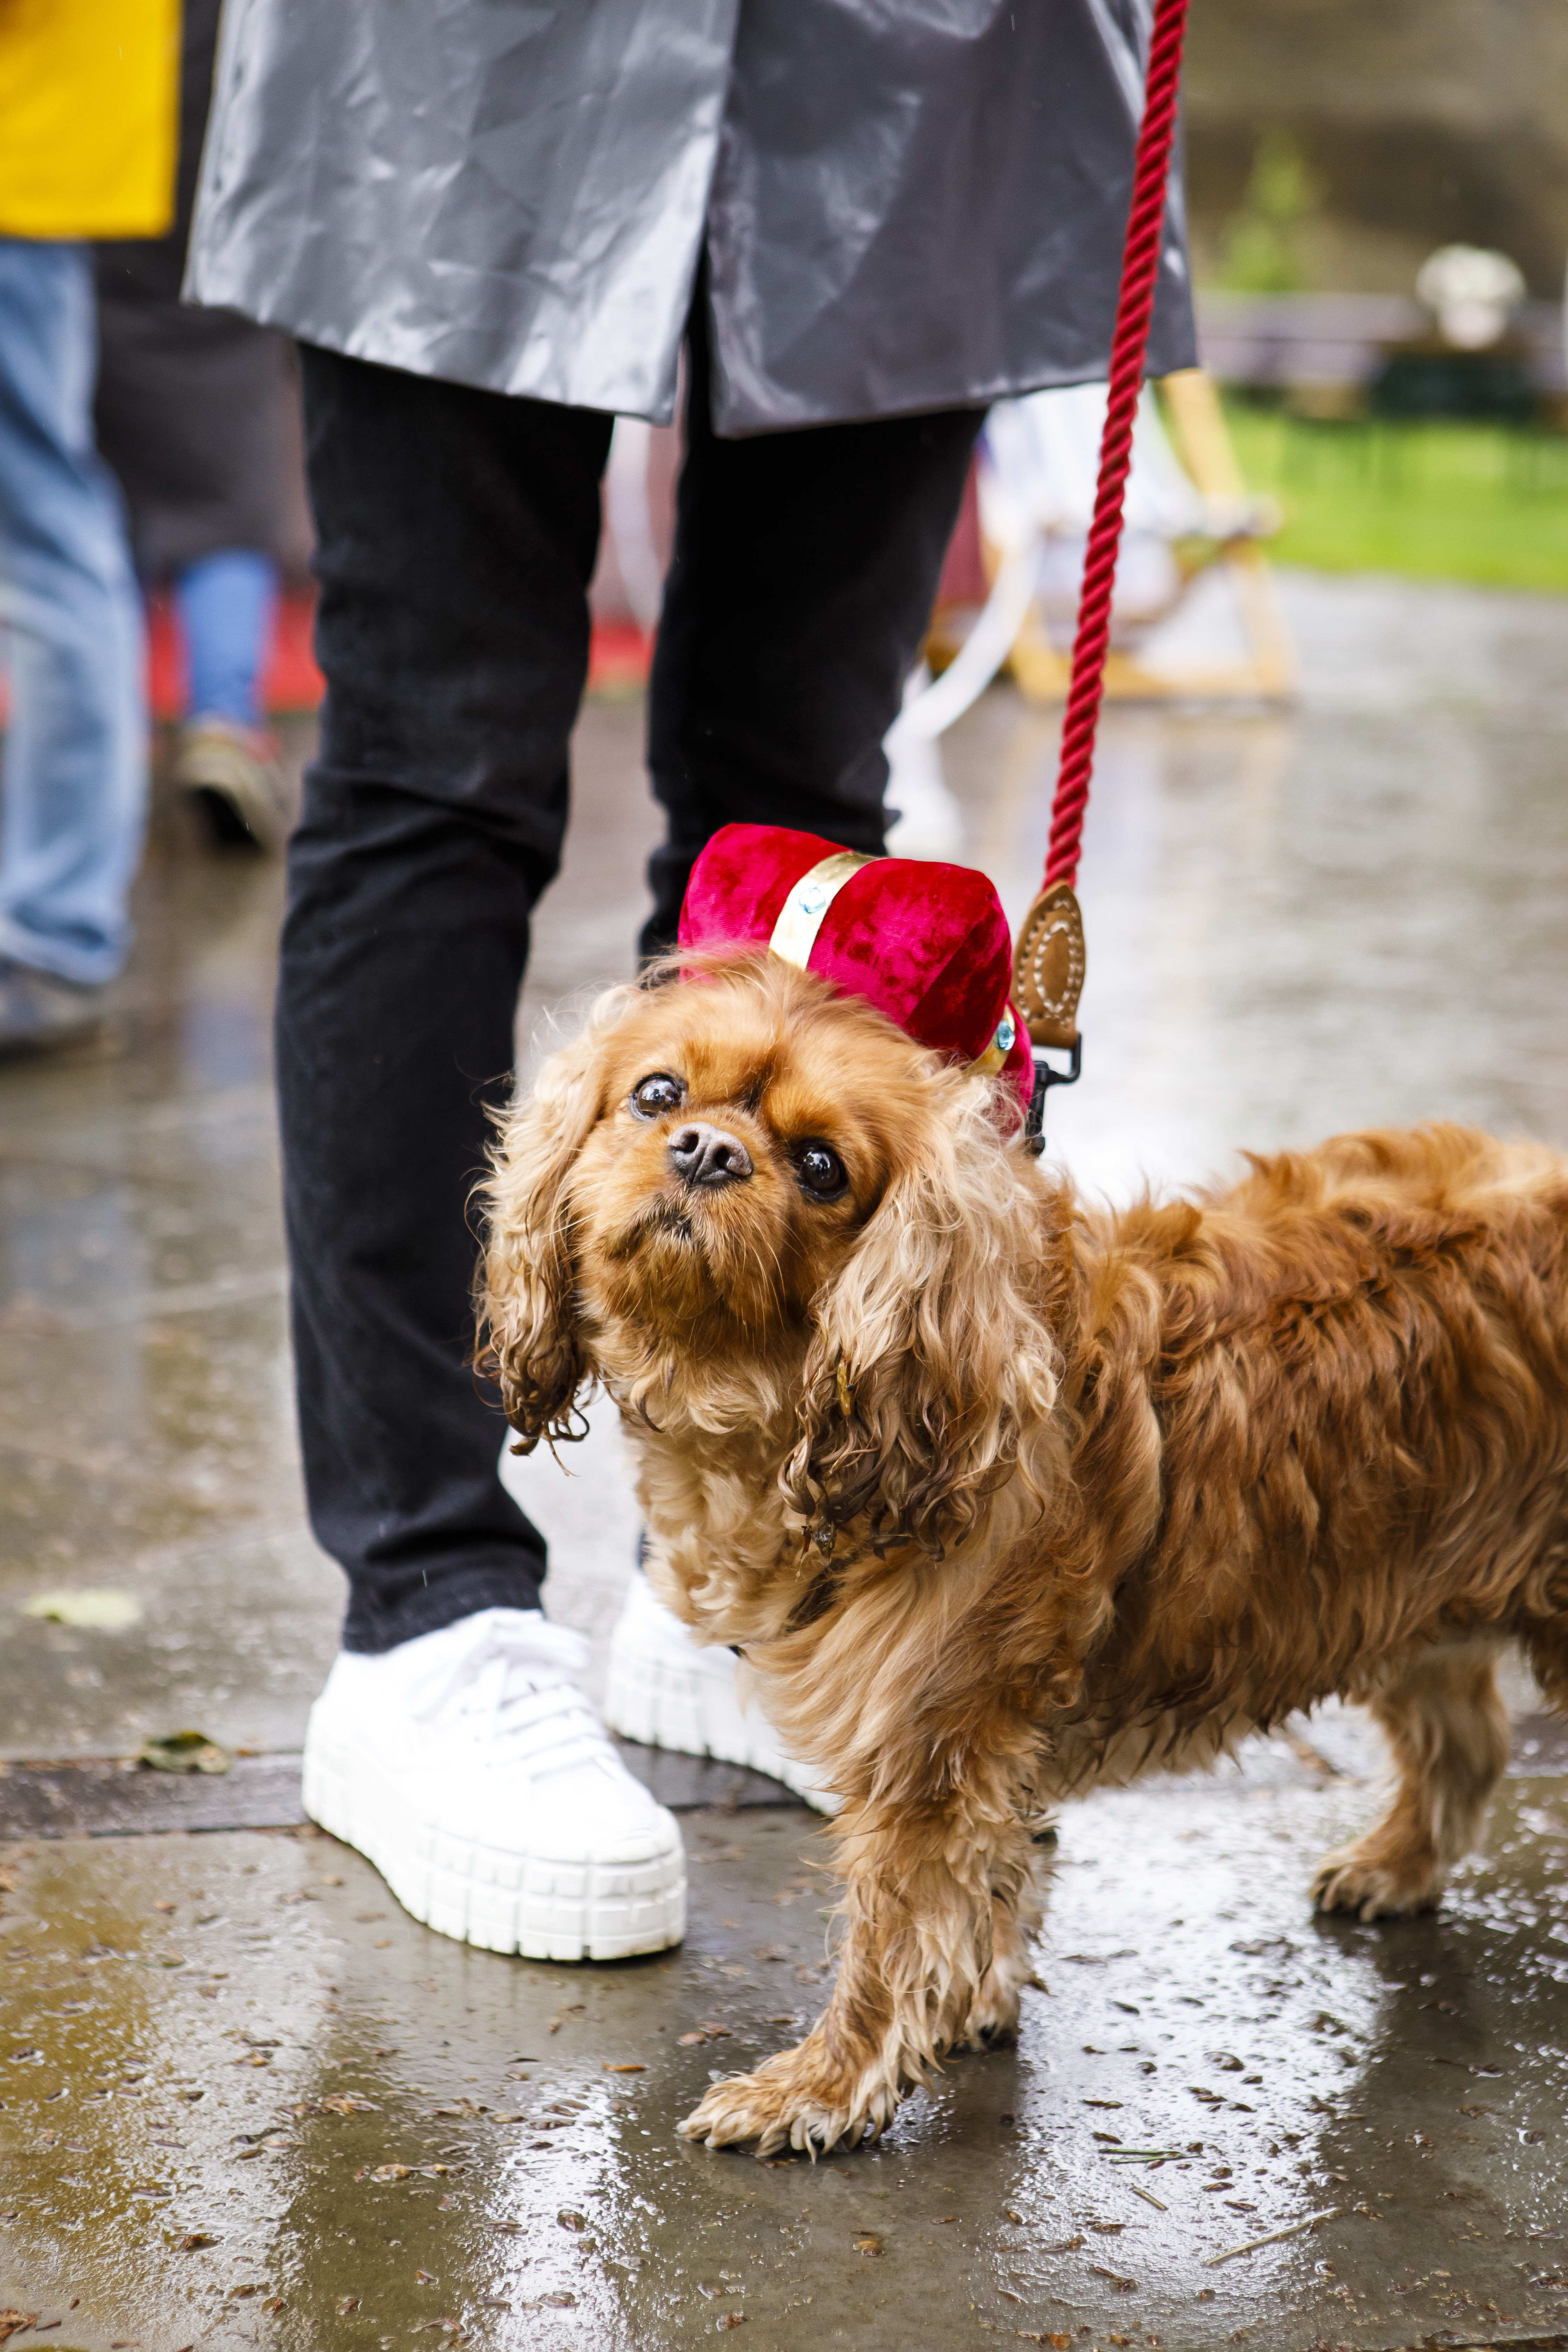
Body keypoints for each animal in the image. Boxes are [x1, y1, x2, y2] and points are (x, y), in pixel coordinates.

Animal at [479, 950, 1568, 2154]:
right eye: (658, 1094)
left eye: (821, 1166)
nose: (708, 1151)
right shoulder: (979, 1754)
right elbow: (990, 1883)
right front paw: (965, 2008)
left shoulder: (929, 1750)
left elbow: (888, 1935)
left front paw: (822, 2089)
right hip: (1409, 1581)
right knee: (1465, 1739)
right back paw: (1396, 1866)